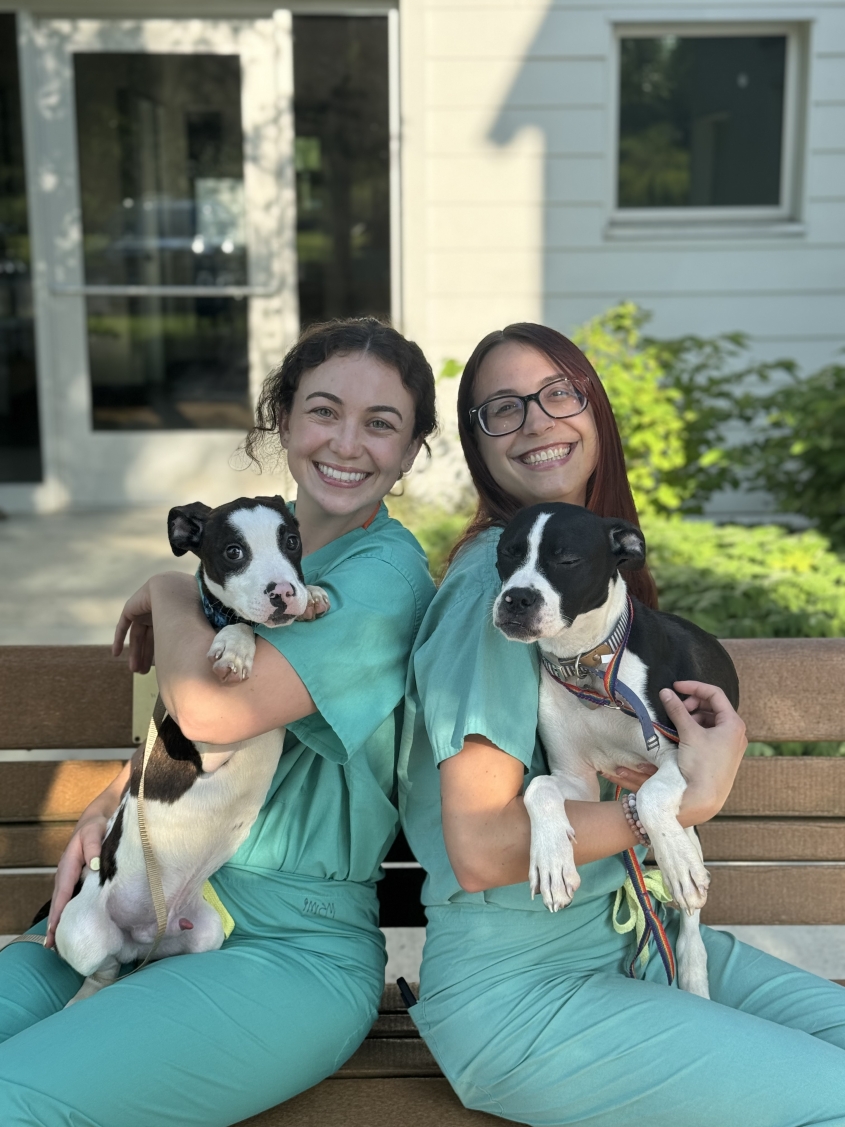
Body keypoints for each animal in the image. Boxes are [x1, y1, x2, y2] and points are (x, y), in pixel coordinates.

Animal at [55, 493, 326, 996]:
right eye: (234, 552)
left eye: (292, 541)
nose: (284, 592)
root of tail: (141, 938)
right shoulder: (204, 741)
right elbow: (247, 626)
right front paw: (236, 645)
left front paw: (313, 595)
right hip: (81, 932)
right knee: (99, 969)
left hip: (205, 932)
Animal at [493, 502, 739, 996]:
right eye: (507, 553)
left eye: (567, 560)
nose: (516, 599)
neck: (587, 663)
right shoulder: (577, 782)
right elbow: (539, 788)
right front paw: (552, 860)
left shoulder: (680, 751)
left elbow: (652, 796)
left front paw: (676, 860)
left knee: (691, 913)